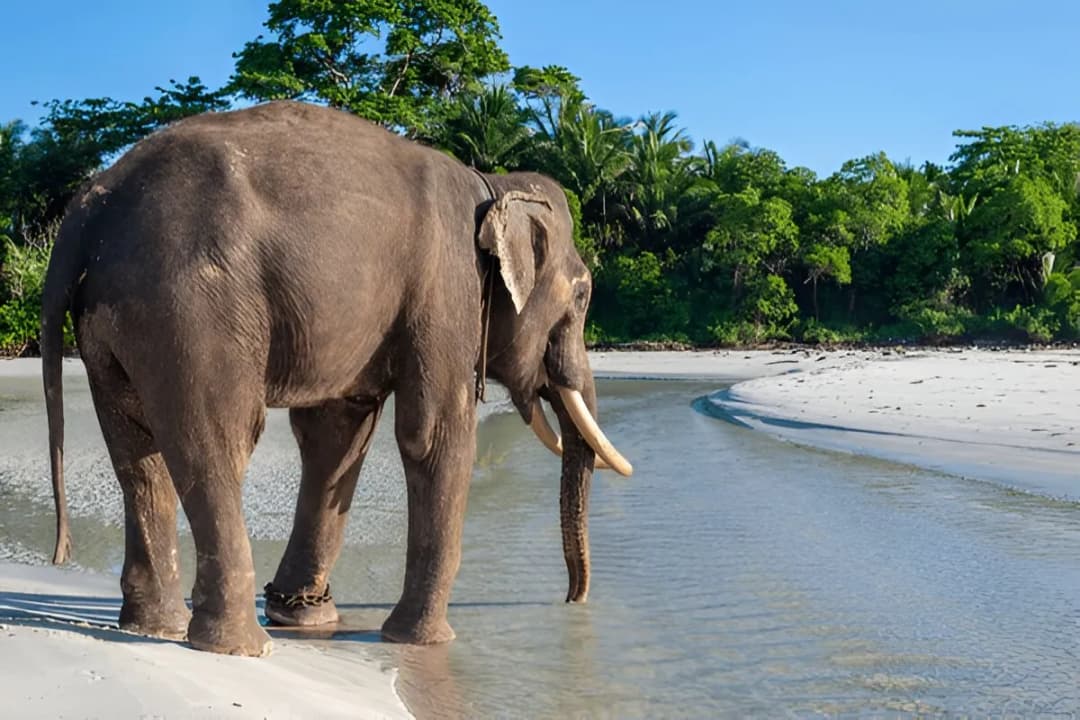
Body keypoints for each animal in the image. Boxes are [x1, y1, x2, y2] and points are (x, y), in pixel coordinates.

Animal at [40, 100, 632, 657]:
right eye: (583, 296)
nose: (573, 600)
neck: (493, 184)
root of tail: (90, 206)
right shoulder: (446, 292)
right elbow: (434, 434)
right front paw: (422, 642)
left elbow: (336, 439)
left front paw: (307, 617)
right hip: (191, 309)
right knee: (219, 441)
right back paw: (241, 646)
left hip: (112, 325)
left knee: (138, 457)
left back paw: (154, 626)